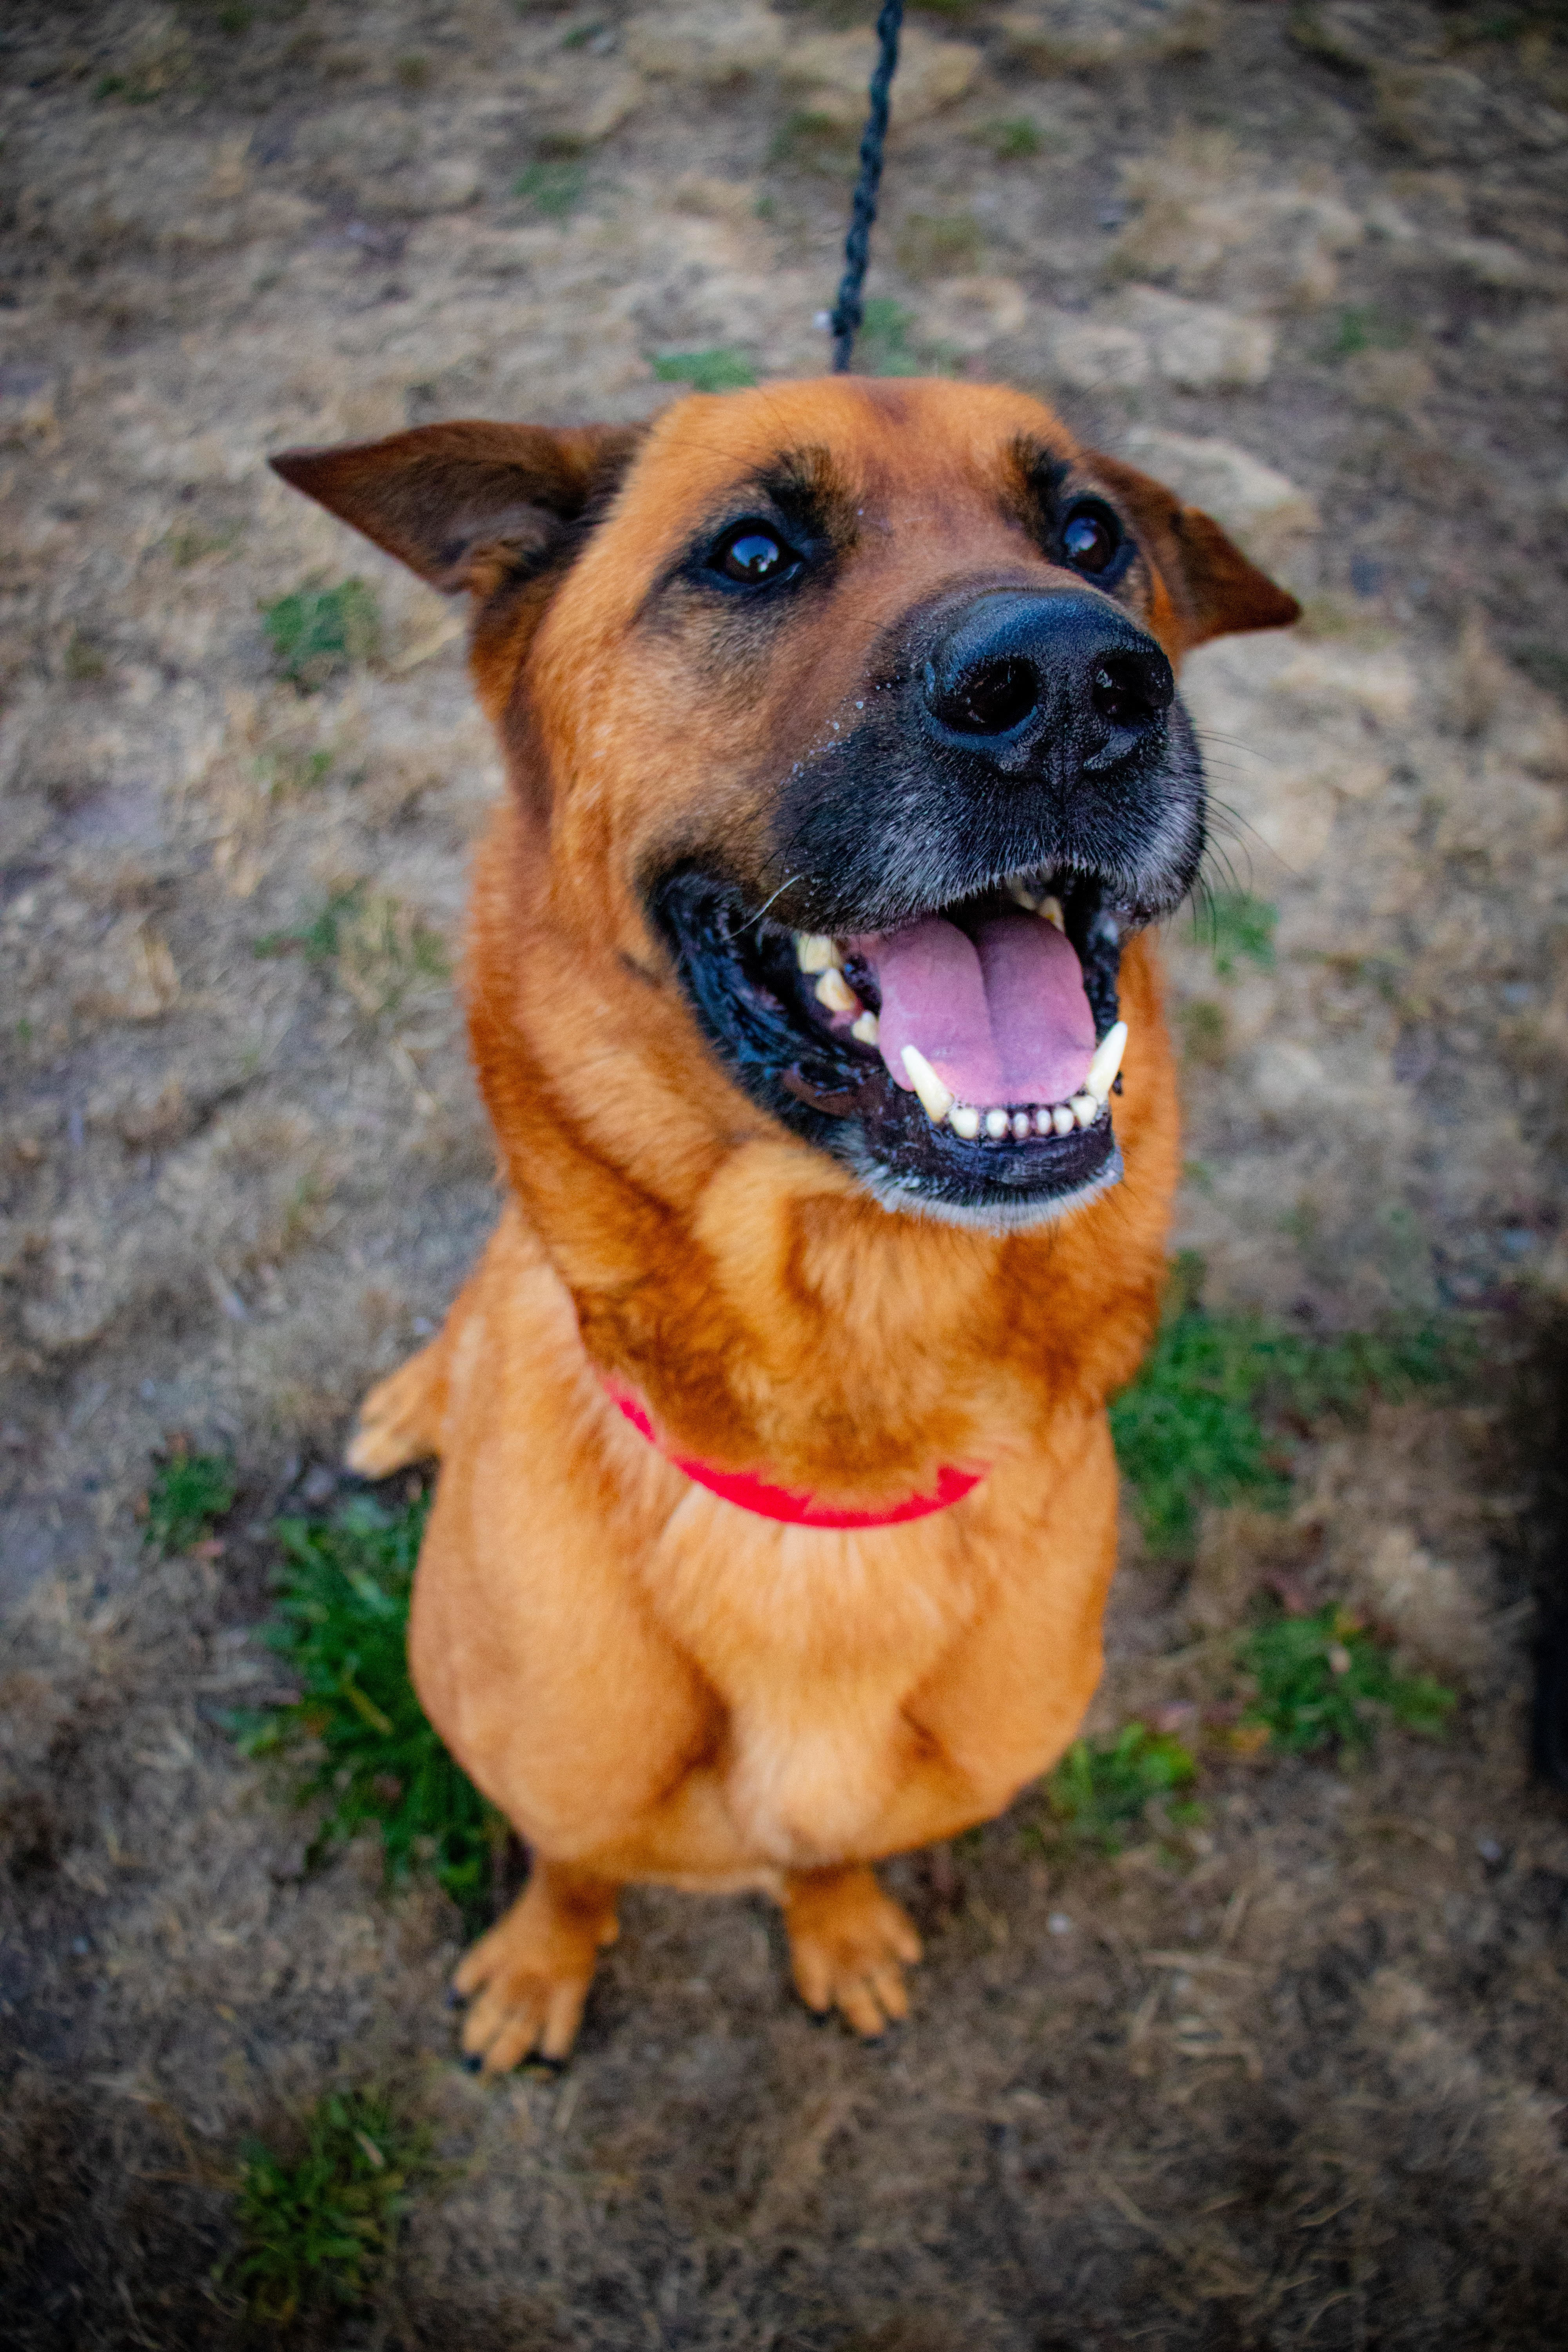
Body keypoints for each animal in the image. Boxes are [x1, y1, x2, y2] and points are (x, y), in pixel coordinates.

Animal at [272, 386, 1298, 2079]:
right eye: (751, 553)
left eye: (1092, 534)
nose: (1075, 687)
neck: (835, 1449)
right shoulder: (554, 1775)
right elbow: (572, 1861)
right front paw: (541, 1965)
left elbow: (833, 1850)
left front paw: (839, 1926)